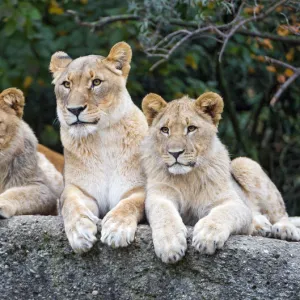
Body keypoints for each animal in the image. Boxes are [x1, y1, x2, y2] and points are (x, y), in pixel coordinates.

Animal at [49, 41, 148, 253]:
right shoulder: (79, 189)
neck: (102, 139)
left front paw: (117, 229)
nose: (75, 110)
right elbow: (71, 203)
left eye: (96, 82)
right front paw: (80, 231)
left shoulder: (139, 188)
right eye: (66, 84)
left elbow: (131, 204)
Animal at [141, 92, 300, 264]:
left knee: (281, 214)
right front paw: (170, 245)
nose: (175, 153)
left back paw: (284, 230)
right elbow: (163, 214)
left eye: (191, 128)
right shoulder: (159, 195)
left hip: (244, 163)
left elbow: (223, 213)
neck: (188, 177)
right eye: (165, 129)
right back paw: (260, 226)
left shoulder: (234, 202)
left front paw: (207, 236)